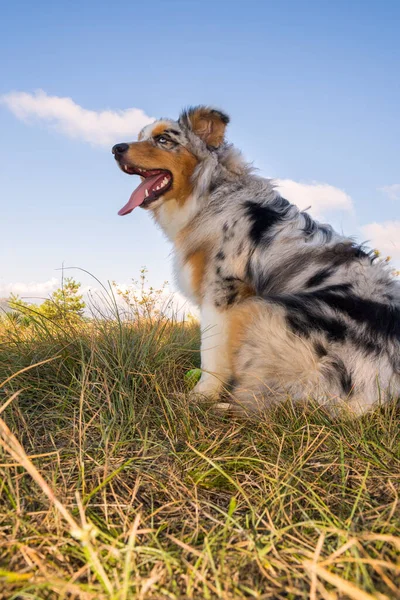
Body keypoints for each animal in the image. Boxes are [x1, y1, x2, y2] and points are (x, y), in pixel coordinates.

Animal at [112, 105, 400, 414]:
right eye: (140, 136)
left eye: (163, 139)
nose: (116, 148)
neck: (214, 192)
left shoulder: (222, 294)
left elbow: (210, 355)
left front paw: (200, 397)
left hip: (264, 312)